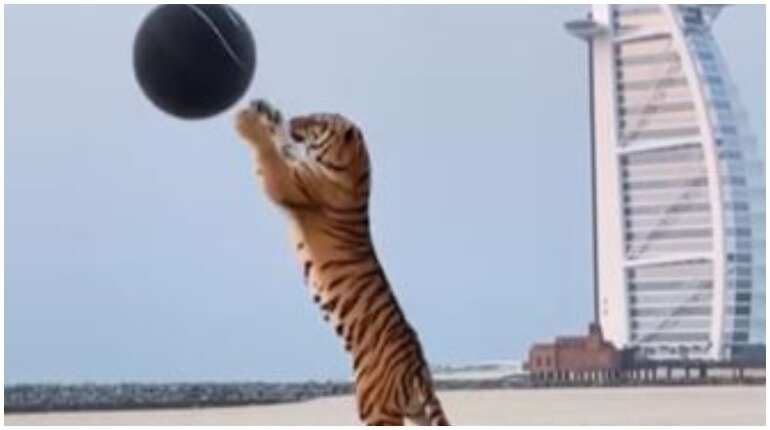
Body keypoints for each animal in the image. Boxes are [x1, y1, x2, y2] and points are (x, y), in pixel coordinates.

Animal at [236, 99, 449, 426]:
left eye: (316, 120)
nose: (293, 119)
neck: (357, 168)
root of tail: (418, 364)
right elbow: (283, 147)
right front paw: (268, 115)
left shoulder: (289, 181)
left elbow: (270, 156)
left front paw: (249, 123)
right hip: (416, 411)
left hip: (375, 406)